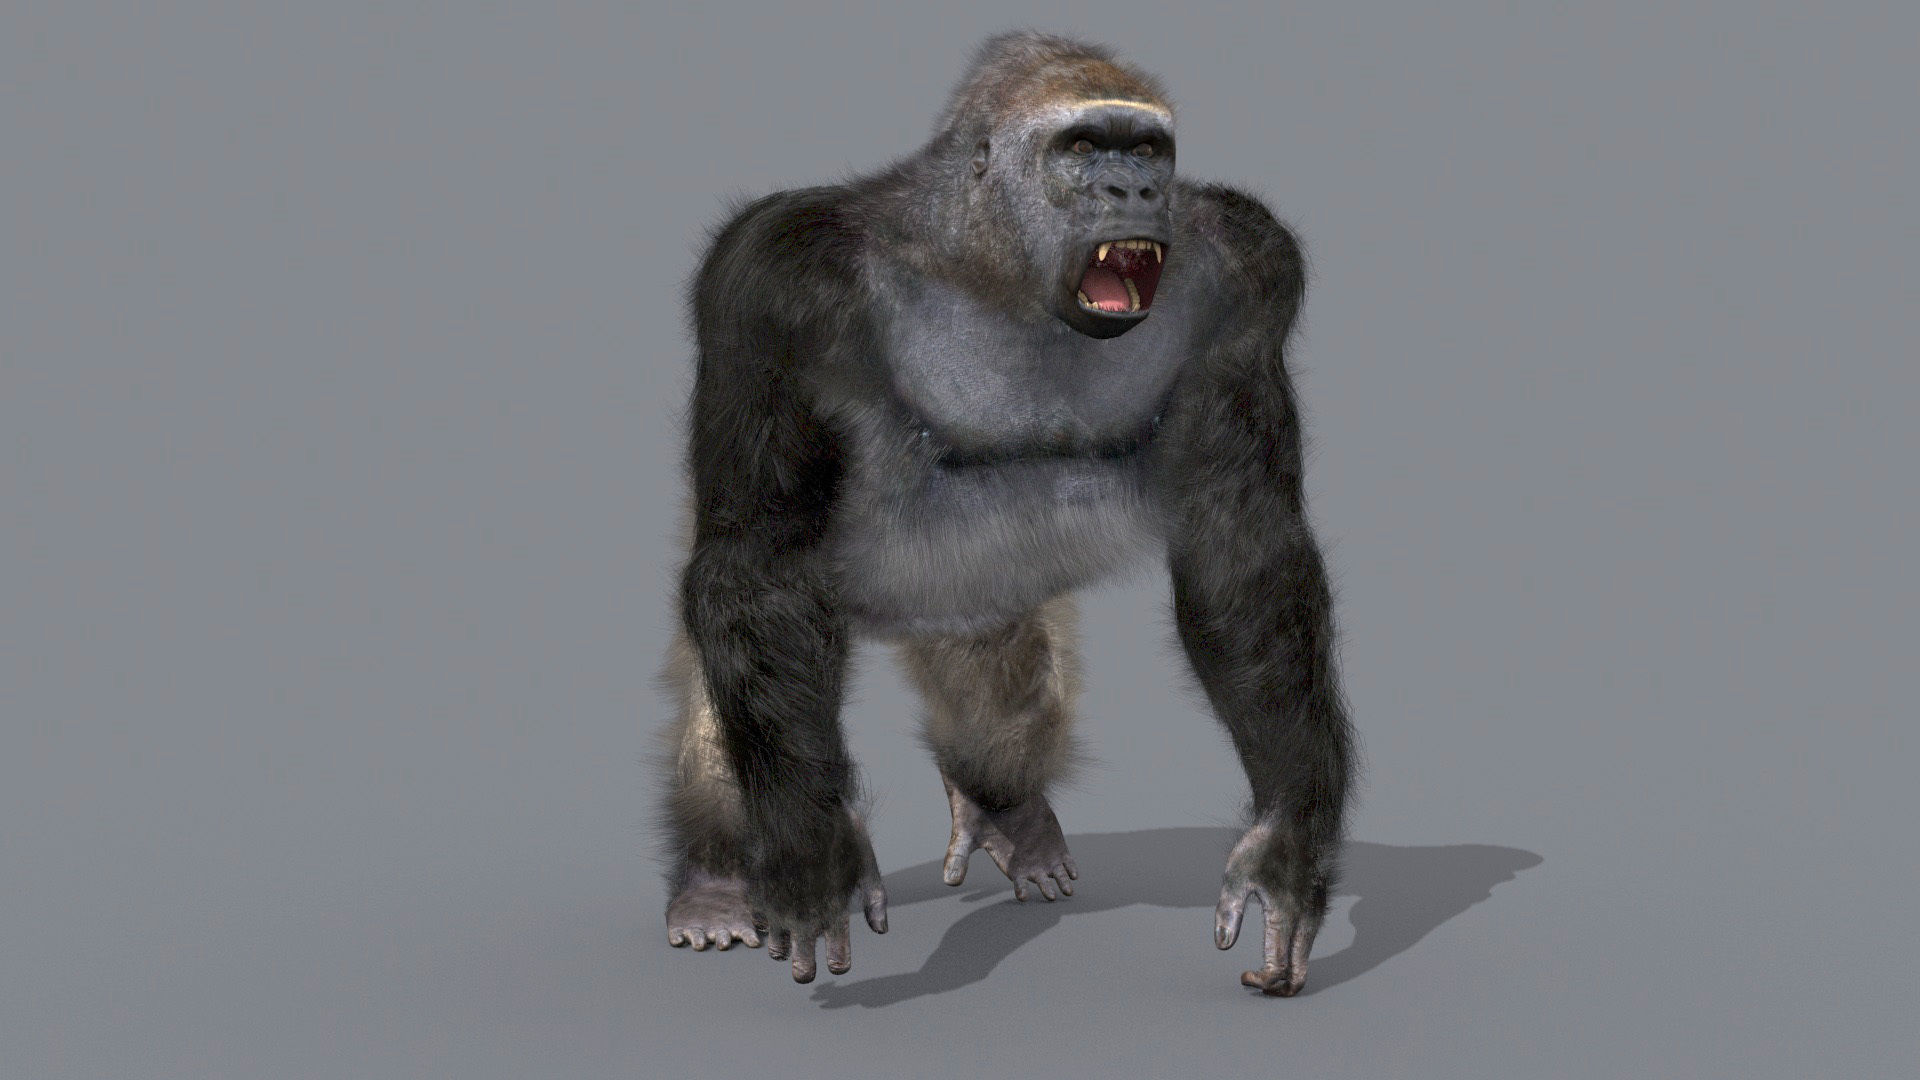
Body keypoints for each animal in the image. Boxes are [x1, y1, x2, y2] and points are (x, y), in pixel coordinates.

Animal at [660, 31, 1354, 997]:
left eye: (1148, 152)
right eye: (1082, 147)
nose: (1135, 193)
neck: (983, 253)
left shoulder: (1251, 271)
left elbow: (1244, 548)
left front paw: (1286, 839)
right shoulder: (771, 278)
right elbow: (757, 565)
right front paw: (808, 848)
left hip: (968, 623)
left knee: (1004, 707)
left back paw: (1008, 817)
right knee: (738, 671)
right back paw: (715, 887)